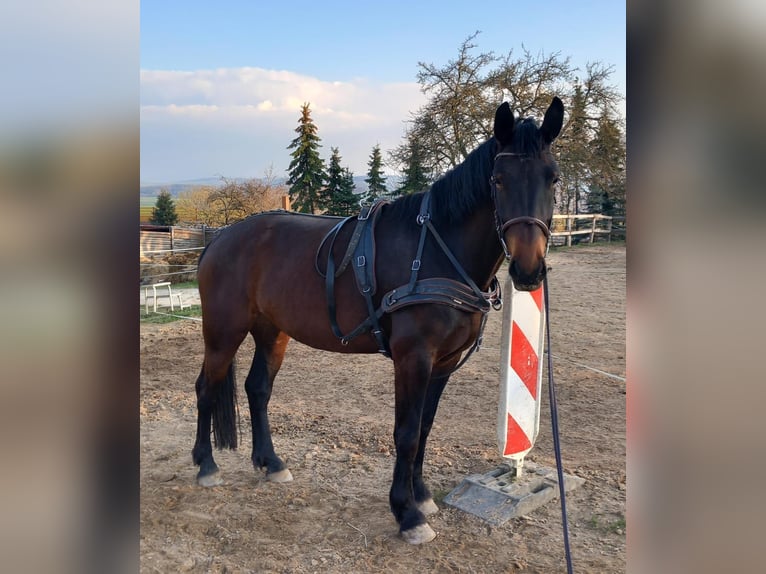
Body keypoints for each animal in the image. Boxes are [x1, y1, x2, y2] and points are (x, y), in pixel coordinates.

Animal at [192, 97, 564, 548]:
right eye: (498, 179)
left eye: (553, 178)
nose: (529, 270)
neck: (437, 250)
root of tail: (219, 238)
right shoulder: (413, 358)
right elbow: (405, 432)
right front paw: (406, 513)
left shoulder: (442, 363)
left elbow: (424, 427)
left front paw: (420, 496)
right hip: (223, 332)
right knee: (206, 388)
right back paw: (205, 465)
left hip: (272, 332)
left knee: (257, 388)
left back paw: (270, 462)